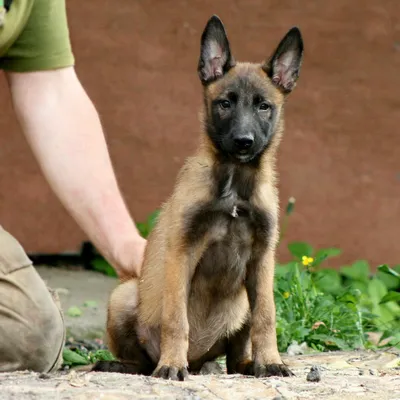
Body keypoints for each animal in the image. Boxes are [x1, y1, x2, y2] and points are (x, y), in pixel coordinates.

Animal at [93, 14, 304, 382]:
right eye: (225, 103)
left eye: (264, 106)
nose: (244, 141)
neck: (233, 182)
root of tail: (199, 361)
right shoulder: (183, 252)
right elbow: (176, 319)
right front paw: (171, 364)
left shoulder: (262, 261)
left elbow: (267, 318)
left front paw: (271, 361)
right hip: (124, 294)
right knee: (142, 361)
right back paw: (128, 365)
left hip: (241, 307)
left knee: (234, 359)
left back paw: (249, 366)